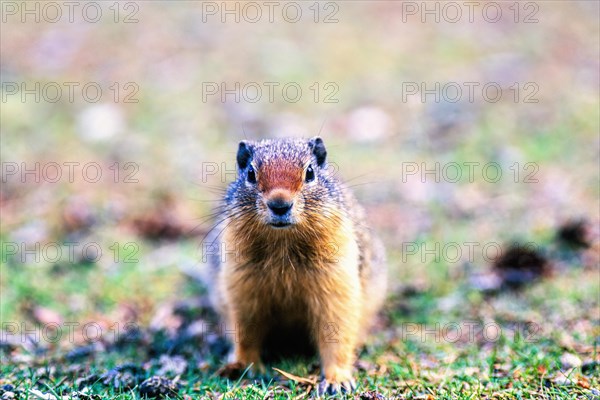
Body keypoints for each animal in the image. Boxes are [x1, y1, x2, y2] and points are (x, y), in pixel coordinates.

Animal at [204, 137, 386, 394]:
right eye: (250, 173)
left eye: (310, 172)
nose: (279, 204)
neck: (283, 244)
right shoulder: (240, 287)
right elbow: (245, 331)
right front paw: (244, 365)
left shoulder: (337, 282)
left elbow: (337, 331)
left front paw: (337, 381)